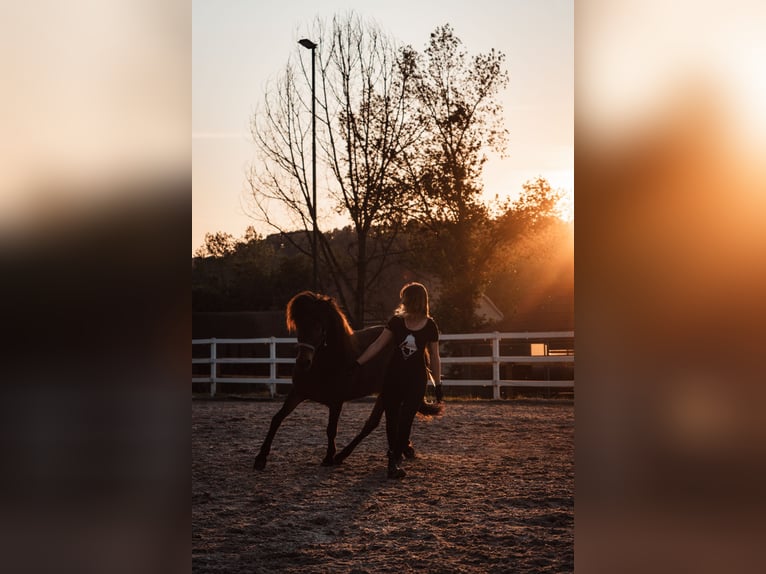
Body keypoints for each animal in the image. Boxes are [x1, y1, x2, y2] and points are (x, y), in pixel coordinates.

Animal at [253, 291, 443, 470]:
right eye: (299, 326)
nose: (303, 362)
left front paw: (329, 457)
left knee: (373, 423)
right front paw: (260, 458)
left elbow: (331, 429)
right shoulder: (298, 392)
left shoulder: (336, 401)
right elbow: (277, 418)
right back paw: (404, 449)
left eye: (318, 326)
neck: (327, 363)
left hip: (386, 393)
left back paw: (344, 455)